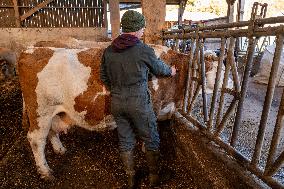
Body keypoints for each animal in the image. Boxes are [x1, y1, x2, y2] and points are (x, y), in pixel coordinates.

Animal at [18, 41, 190, 180]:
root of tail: (30, 49)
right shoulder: (152, 108)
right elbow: (149, 135)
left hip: (54, 113)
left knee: (52, 131)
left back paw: (60, 149)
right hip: (41, 112)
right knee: (36, 139)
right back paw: (46, 172)